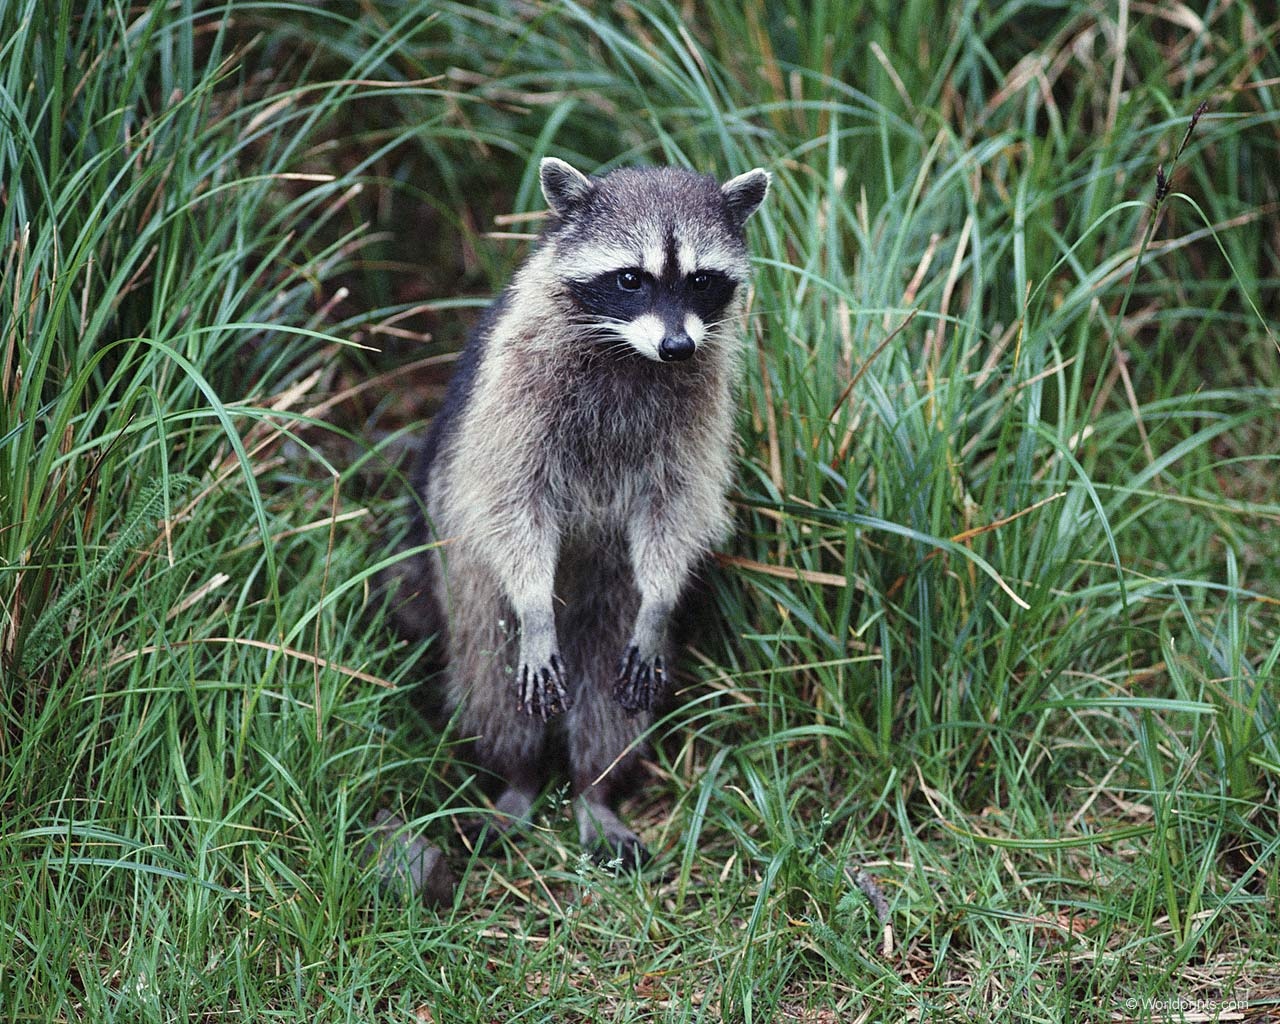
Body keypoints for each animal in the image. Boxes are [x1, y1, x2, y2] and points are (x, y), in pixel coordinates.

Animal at [389, 156, 762, 870]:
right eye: (630, 279)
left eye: (700, 281)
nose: (677, 347)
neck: (630, 353)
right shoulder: (516, 387)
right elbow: (513, 500)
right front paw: (536, 605)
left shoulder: (698, 406)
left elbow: (675, 506)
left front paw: (661, 597)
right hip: (466, 582)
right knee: (491, 678)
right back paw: (519, 775)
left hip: (610, 597)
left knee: (608, 699)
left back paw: (595, 785)